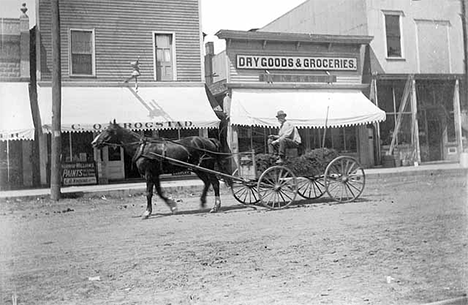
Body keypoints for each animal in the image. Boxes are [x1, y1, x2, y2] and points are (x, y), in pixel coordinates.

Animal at [91, 120, 232, 217]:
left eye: (108, 131)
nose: (93, 143)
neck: (142, 148)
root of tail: (209, 140)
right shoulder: (155, 174)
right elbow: (158, 192)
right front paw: (172, 206)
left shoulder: (149, 173)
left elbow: (149, 192)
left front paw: (147, 212)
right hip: (198, 169)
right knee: (208, 183)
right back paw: (203, 202)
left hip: (206, 167)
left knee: (215, 183)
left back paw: (215, 206)